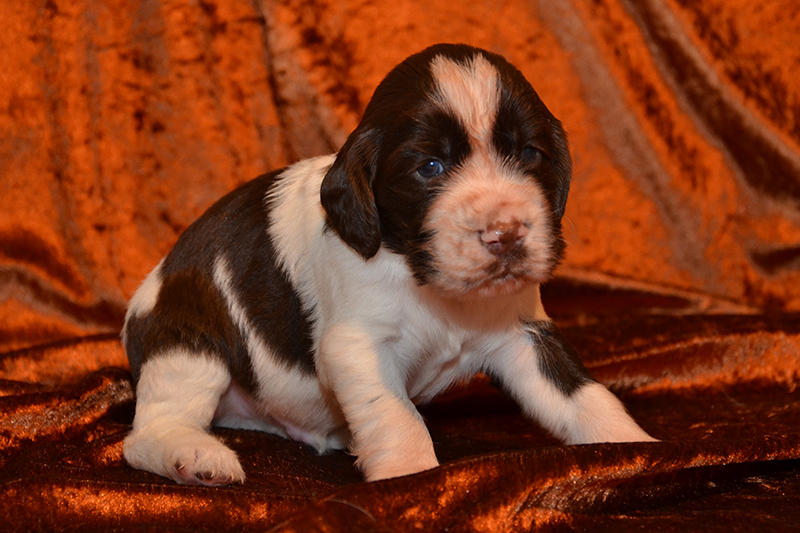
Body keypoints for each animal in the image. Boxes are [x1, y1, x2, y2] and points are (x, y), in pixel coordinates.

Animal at [122, 43, 652, 484]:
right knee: (149, 430)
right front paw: (409, 480)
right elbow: (398, 417)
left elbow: (583, 397)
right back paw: (194, 455)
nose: (505, 235)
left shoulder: (523, 334)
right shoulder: (358, 346)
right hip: (189, 341)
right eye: (430, 168)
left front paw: (639, 450)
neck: (423, 276)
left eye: (528, 153)